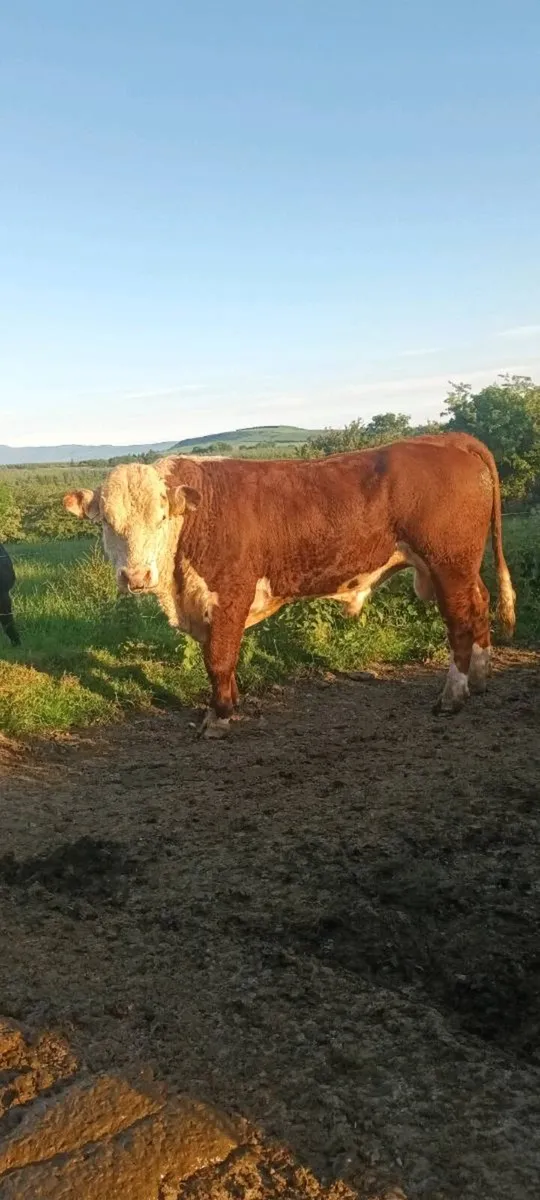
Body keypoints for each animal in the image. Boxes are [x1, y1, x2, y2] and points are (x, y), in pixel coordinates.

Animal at [63, 433, 515, 737]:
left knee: (460, 622)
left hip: (448, 565)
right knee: (480, 606)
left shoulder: (230, 593)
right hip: (463, 568)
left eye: (160, 518)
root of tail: (444, 440)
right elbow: (222, 661)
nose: (136, 577)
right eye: (106, 523)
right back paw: (479, 679)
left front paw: (219, 717)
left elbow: (219, 658)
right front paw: (231, 703)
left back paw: (452, 697)